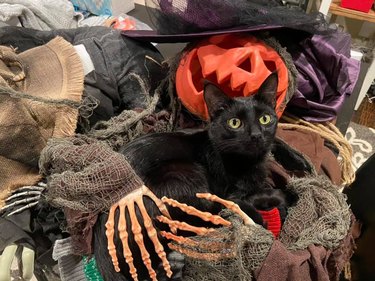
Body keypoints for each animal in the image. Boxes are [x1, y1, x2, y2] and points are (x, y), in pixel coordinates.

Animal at [93, 72, 288, 280]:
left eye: (265, 119)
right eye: (234, 123)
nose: (256, 135)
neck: (248, 163)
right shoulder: (228, 192)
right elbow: (241, 199)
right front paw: (272, 200)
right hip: (184, 174)